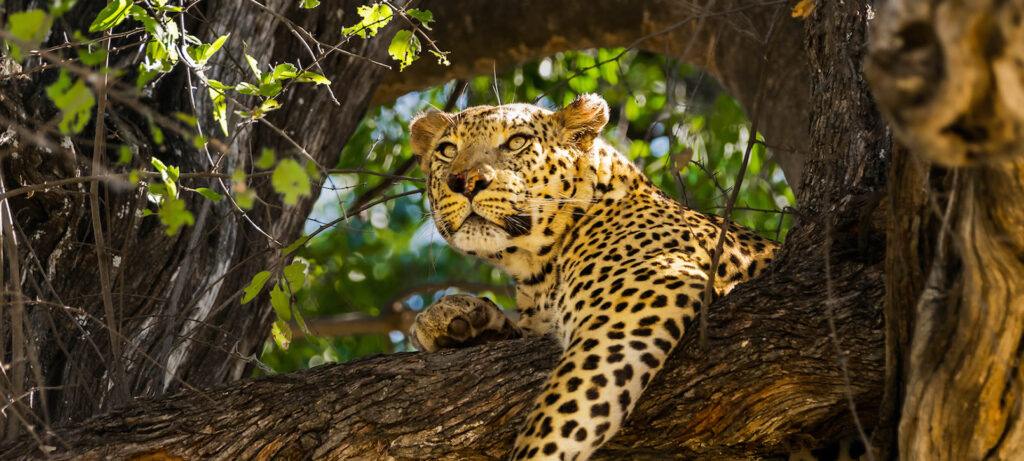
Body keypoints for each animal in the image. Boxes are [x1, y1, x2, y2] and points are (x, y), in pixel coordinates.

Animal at [405, 94, 774, 461]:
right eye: (447, 150)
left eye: (517, 142)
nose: (465, 182)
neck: (536, 274)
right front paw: (454, 319)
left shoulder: (646, 288)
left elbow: (560, 409)